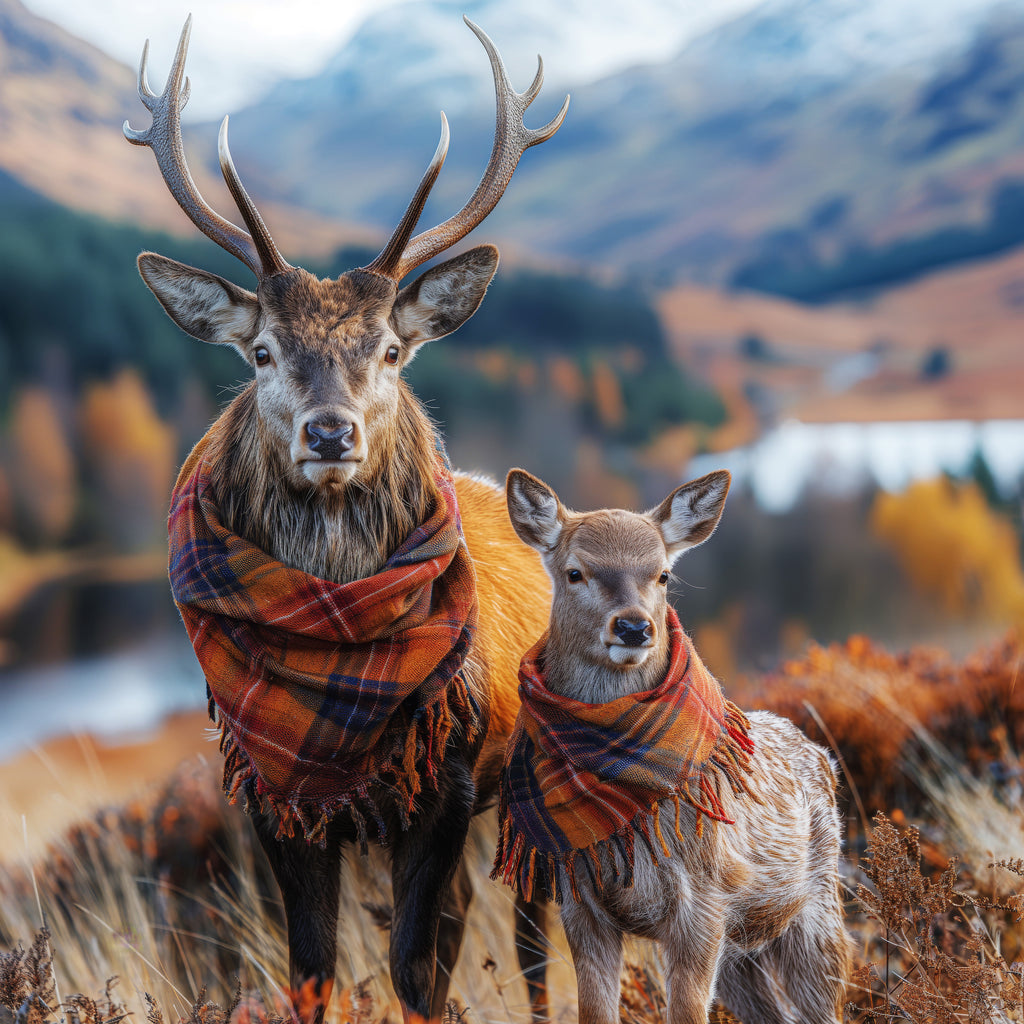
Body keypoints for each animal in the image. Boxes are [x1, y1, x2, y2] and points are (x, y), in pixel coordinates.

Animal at [123, 18, 565, 1024]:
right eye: (260, 351)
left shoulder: (446, 783)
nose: (331, 432)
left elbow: (415, 971)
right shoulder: (271, 792)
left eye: (393, 349)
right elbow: (314, 968)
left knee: (530, 941)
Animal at [498, 468, 851, 1024]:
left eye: (663, 574)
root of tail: (824, 757)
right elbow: (595, 1011)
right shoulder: (579, 904)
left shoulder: (704, 898)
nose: (633, 626)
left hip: (817, 911)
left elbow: (684, 1011)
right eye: (575, 572)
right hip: (743, 951)